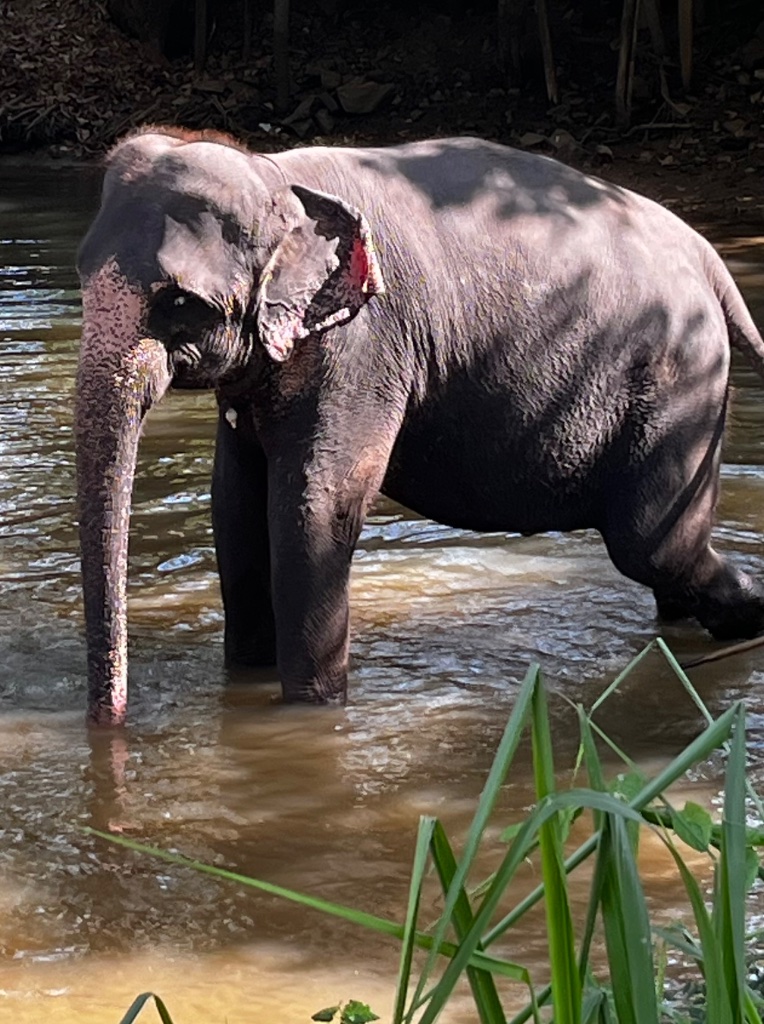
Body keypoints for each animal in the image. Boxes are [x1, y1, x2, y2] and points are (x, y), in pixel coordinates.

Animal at [76, 125, 764, 725]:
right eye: (81, 279)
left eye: (180, 303)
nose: (111, 722)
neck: (274, 174)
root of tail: (708, 259)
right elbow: (235, 505)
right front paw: (246, 681)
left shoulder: (362, 349)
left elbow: (315, 508)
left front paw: (311, 714)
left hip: (680, 378)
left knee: (652, 544)